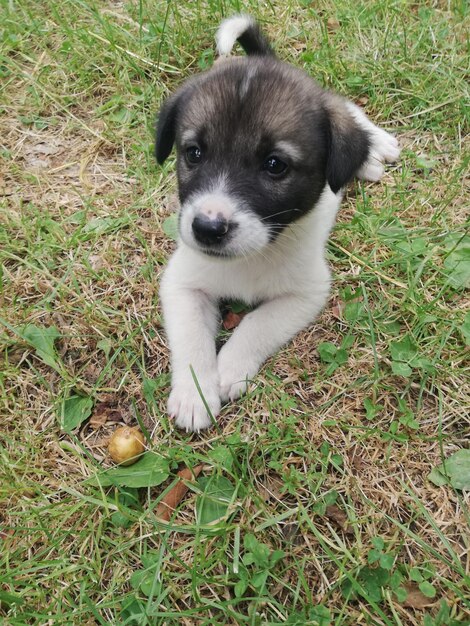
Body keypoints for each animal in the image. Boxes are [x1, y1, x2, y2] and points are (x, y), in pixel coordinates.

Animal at [156, 17, 398, 432]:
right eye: (194, 153)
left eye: (275, 165)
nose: (207, 229)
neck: (249, 259)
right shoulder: (182, 283)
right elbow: (190, 339)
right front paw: (195, 393)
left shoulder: (306, 294)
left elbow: (257, 323)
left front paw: (229, 368)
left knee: (347, 106)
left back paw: (374, 146)